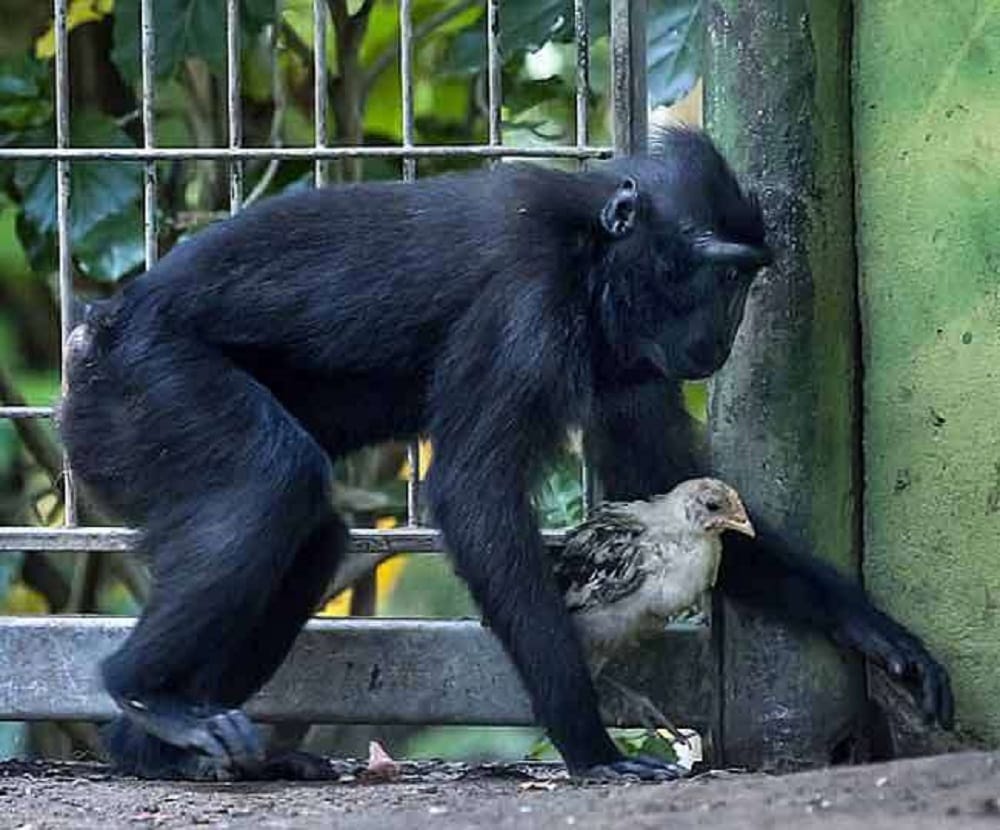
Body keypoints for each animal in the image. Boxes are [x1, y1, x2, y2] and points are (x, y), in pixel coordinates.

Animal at [57, 127, 952, 781]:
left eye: (746, 278)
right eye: (720, 274)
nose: (728, 330)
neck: (590, 247)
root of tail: (98, 332)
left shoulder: (629, 357)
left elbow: (665, 484)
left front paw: (876, 635)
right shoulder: (528, 304)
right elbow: (474, 492)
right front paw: (592, 749)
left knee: (309, 538)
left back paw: (162, 752)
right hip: (146, 388)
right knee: (272, 487)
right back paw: (147, 695)